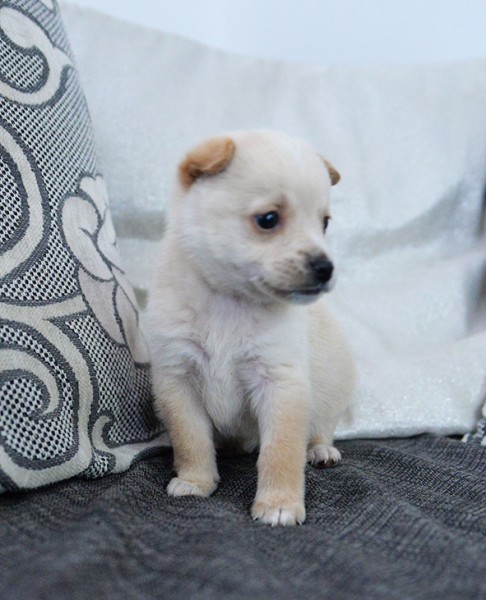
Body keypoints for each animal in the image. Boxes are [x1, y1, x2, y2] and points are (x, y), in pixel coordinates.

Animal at [146, 130, 356, 524]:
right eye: (268, 219)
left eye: (324, 223)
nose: (326, 268)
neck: (229, 301)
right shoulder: (178, 379)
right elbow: (191, 439)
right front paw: (196, 481)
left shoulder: (280, 383)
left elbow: (281, 452)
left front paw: (278, 504)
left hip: (328, 396)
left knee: (320, 431)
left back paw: (321, 451)